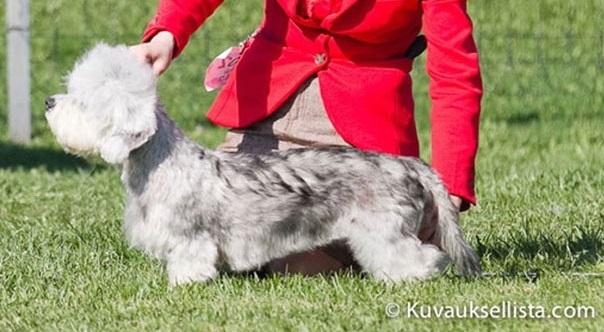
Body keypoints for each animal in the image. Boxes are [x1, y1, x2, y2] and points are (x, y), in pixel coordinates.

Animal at [46, 42, 482, 284]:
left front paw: (184, 284)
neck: (161, 166)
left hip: (383, 233)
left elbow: (189, 262)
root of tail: (409, 164)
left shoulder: (190, 238)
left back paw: (413, 277)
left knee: (423, 257)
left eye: (83, 101)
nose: (49, 101)